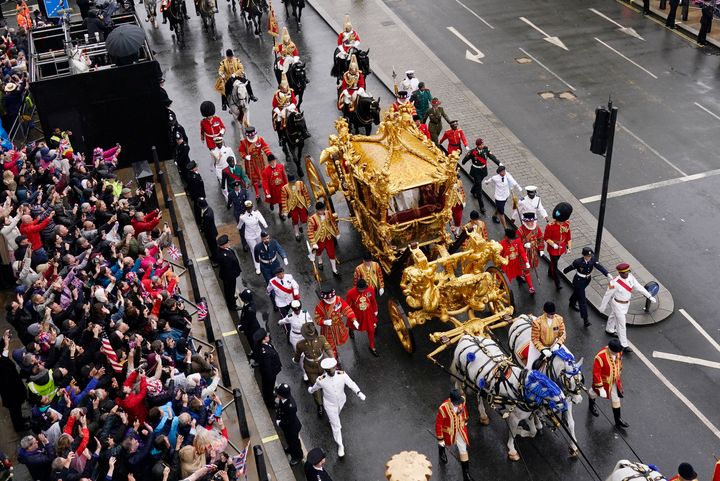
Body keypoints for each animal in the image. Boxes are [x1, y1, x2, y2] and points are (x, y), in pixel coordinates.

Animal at [450, 334, 568, 462]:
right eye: (556, 401)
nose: (563, 421)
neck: (520, 390)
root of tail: (466, 336)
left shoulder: (527, 414)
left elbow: (533, 431)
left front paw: (522, 432)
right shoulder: (514, 418)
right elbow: (512, 434)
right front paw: (512, 450)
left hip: (478, 382)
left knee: (479, 394)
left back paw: (483, 415)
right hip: (460, 374)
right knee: (458, 387)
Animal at [506, 314, 584, 456]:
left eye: (580, 379)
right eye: (568, 381)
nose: (578, 400)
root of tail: (522, 317)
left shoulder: (567, 400)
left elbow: (571, 423)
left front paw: (573, 445)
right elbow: (535, 411)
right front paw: (537, 423)